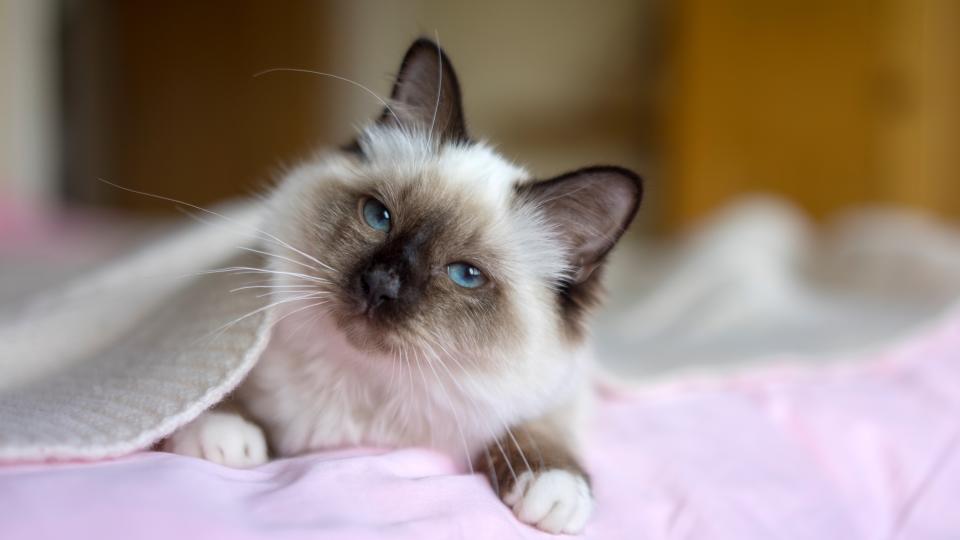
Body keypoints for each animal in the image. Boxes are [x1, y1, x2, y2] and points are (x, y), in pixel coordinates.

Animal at [163, 39, 644, 536]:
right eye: (378, 216)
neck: (368, 387)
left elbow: (539, 431)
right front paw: (223, 434)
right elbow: (216, 393)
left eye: (465, 275)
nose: (381, 285)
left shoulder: (557, 396)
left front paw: (554, 492)